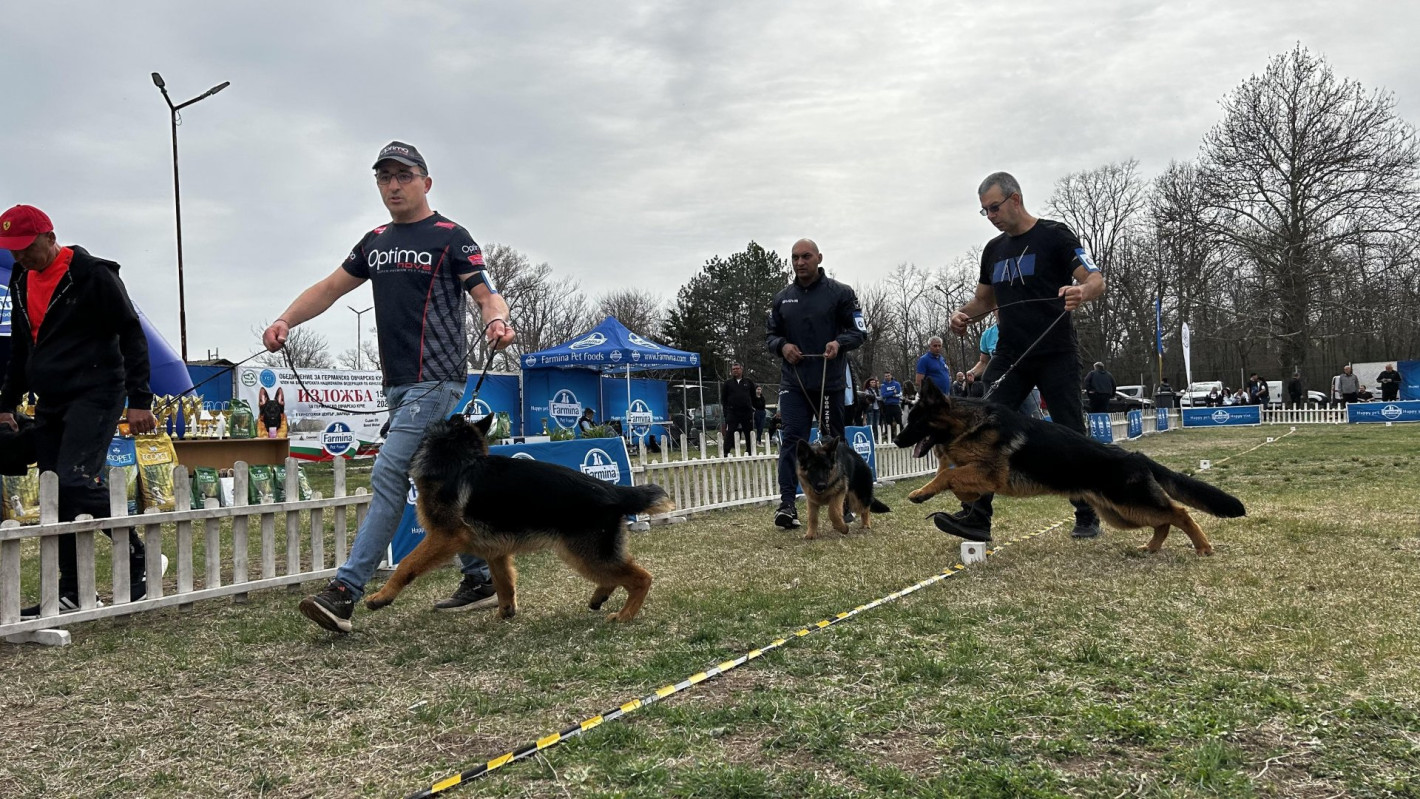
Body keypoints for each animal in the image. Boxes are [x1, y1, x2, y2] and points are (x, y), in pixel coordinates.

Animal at [366, 417, 675, 621]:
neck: (458, 460)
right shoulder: (496, 551)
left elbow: (407, 565)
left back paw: (624, 615)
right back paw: (601, 596)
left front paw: (381, 596)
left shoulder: (443, 537)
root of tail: (613, 489)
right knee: (617, 574)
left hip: (583, 553)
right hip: (587, 554)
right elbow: (504, 583)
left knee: (641, 577)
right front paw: (504, 614)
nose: (384, 427)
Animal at [891, 377, 1249, 553]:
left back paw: (1203, 547)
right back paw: (1150, 547)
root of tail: (1135, 455)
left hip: (1131, 504)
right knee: (1163, 521)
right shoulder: (977, 478)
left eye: (917, 420)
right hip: (1121, 513)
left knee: (1179, 512)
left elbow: (948, 476)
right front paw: (929, 494)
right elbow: (949, 478)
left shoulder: (988, 474)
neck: (969, 425)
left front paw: (923, 492)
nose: (895, 441)